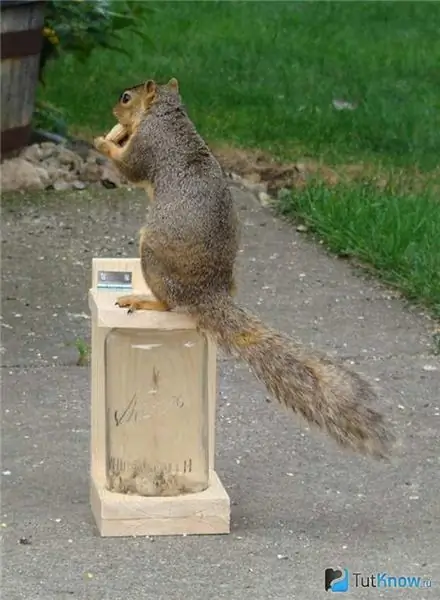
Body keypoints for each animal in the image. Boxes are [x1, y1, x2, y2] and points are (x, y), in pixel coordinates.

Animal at [93, 76, 396, 460]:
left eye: (126, 98)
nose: (113, 110)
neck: (167, 114)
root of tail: (208, 294)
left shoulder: (149, 144)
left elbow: (129, 167)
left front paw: (103, 141)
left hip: (152, 254)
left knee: (170, 303)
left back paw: (144, 300)